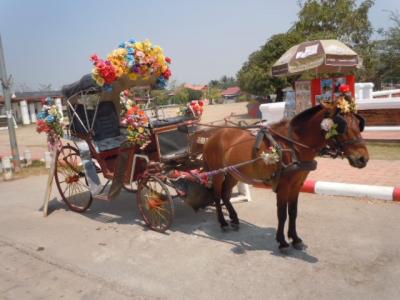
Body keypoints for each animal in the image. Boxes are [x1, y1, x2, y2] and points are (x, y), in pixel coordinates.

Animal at [203, 102, 368, 252]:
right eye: (342, 127)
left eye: (359, 124)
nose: (363, 158)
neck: (293, 146)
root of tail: (213, 135)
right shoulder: (283, 186)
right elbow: (282, 214)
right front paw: (282, 241)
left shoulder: (297, 184)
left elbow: (293, 212)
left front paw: (295, 239)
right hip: (218, 173)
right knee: (217, 195)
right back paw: (223, 223)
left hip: (234, 173)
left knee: (225, 194)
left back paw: (234, 219)